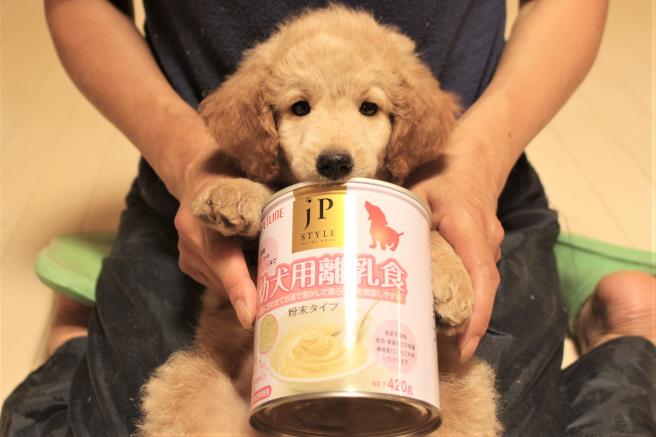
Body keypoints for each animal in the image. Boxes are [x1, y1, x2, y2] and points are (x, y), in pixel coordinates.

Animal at [139, 5, 501, 436]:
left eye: (369, 108)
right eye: (299, 108)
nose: (334, 163)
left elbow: (425, 228)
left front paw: (450, 279)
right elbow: (266, 198)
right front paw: (236, 193)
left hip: (463, 390)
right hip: (191, 384)